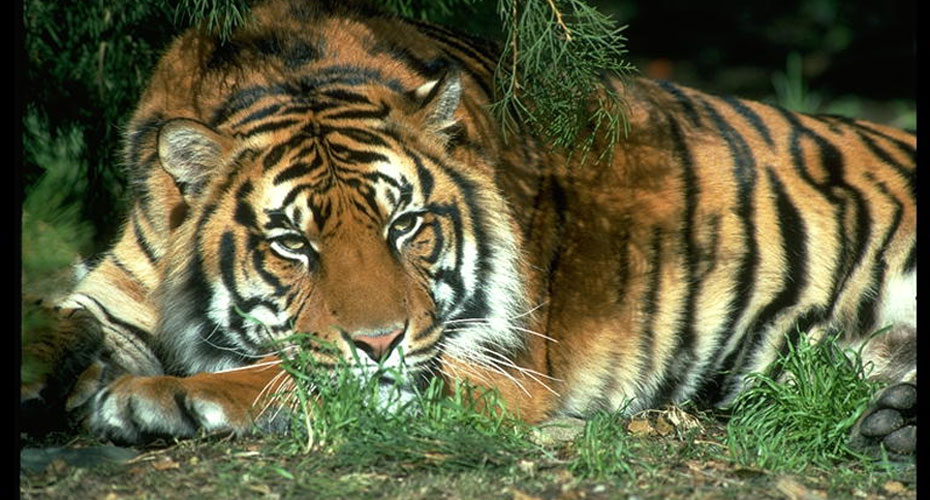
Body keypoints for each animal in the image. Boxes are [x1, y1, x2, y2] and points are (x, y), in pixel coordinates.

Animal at [21, 0, 915, 459]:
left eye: (406, 225)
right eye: (293, 245)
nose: (379, 339)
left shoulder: (493, 364)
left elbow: (294, 375)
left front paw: (146, 399)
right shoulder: (115, 294)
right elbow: (56, 324)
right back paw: (894, 421)